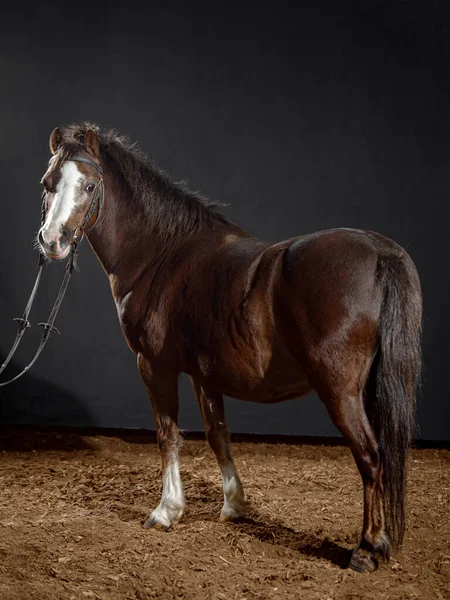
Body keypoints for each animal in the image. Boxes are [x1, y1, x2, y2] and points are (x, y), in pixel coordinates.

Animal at [37, 122, 422, 572]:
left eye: (89, 184)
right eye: (48, 183)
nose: (52, 241)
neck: (161, 255)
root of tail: (379, 251)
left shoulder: (154, 364)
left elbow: (167, 434)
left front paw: (166, 511)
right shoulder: (204, 373)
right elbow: (217, 433)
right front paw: (234, 505)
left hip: (340, 390)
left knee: (371, 456)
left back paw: (366, 549)